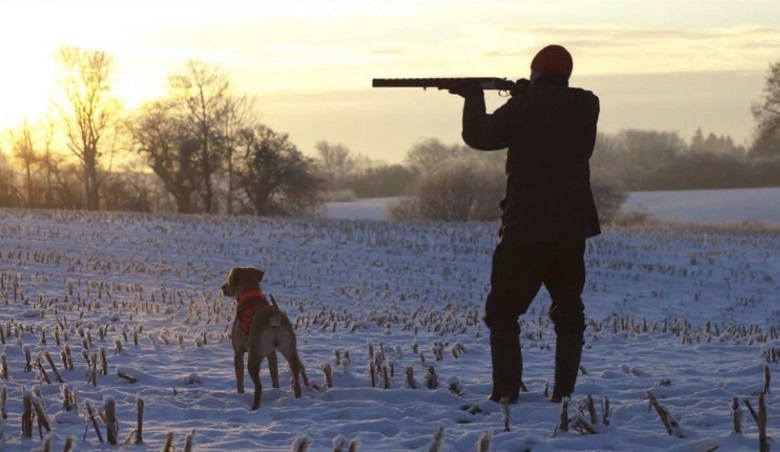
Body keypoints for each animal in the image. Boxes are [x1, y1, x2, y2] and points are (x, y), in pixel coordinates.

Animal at [221, 264, 310, 410]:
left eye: (229, 279)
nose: (222, 288)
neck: (250, 296)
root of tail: (274, 316)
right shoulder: (271, 353)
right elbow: (274, 374)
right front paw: (275, 389)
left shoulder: (238, 352)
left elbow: (239, 379)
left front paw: (240, 394)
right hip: (290, 350)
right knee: (296, 376)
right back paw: (298, 398)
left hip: (254, 356)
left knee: (259, 386)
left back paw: (254, 407)